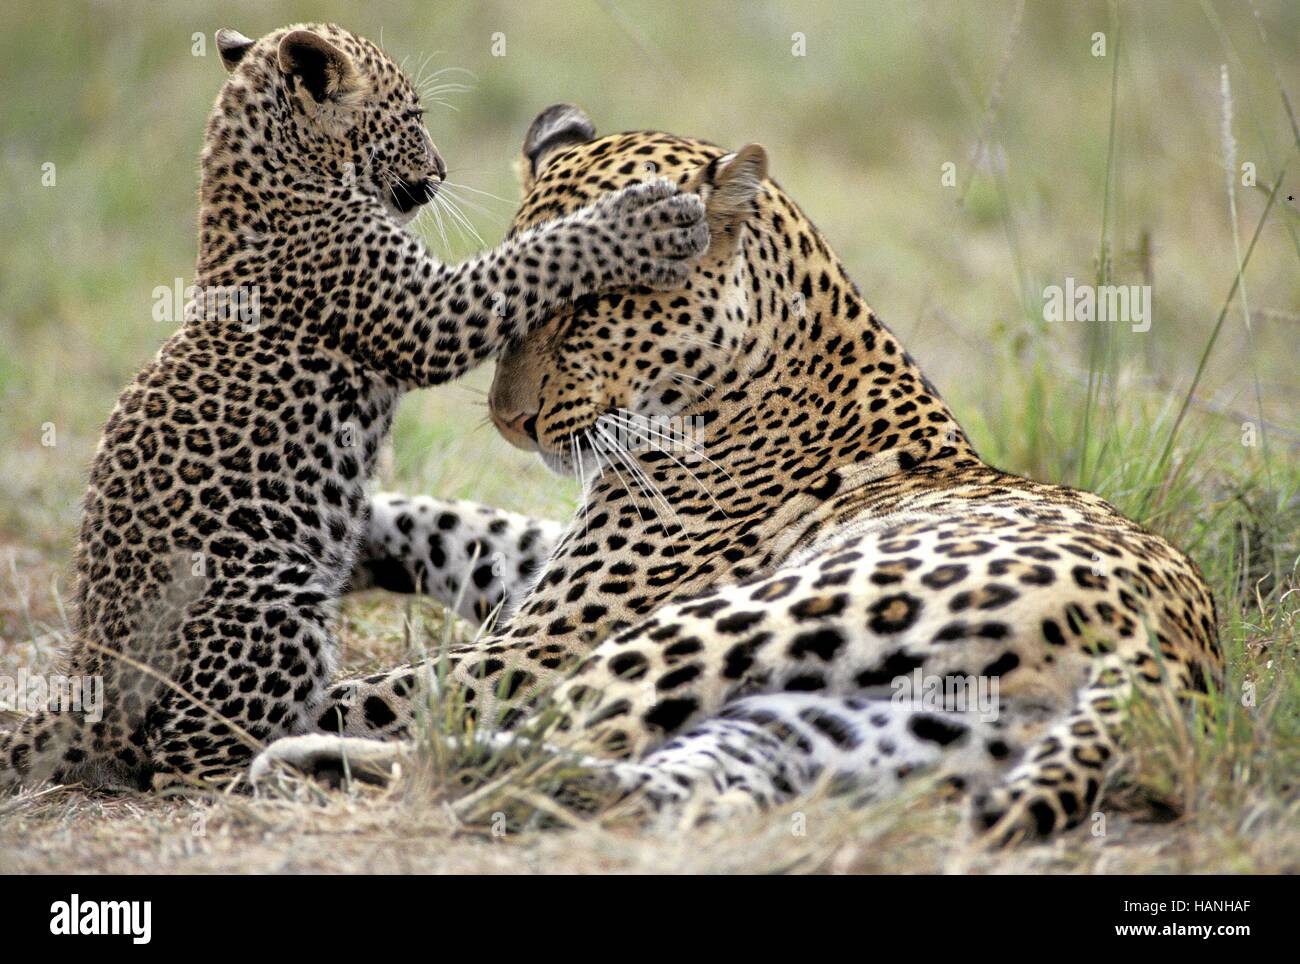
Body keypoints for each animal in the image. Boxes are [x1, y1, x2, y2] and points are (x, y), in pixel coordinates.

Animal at [0, 32, 709, 792]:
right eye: (414, 119)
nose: (441, 169)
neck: (269, 175)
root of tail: (89, 681)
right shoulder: (419, 311)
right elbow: (526, 263)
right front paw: (639, 221)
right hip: (273, 608)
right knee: (183, 758)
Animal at [256, 105, 1223, 844]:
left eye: (593, 305)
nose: (508, 421)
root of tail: (1174, 657)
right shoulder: (554, 568)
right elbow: (461, 525)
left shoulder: (546, 635)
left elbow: (406, 682)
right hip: (845, 727)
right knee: (639, 780)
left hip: (743, 617)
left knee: (516, 733)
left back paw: (291, 753)